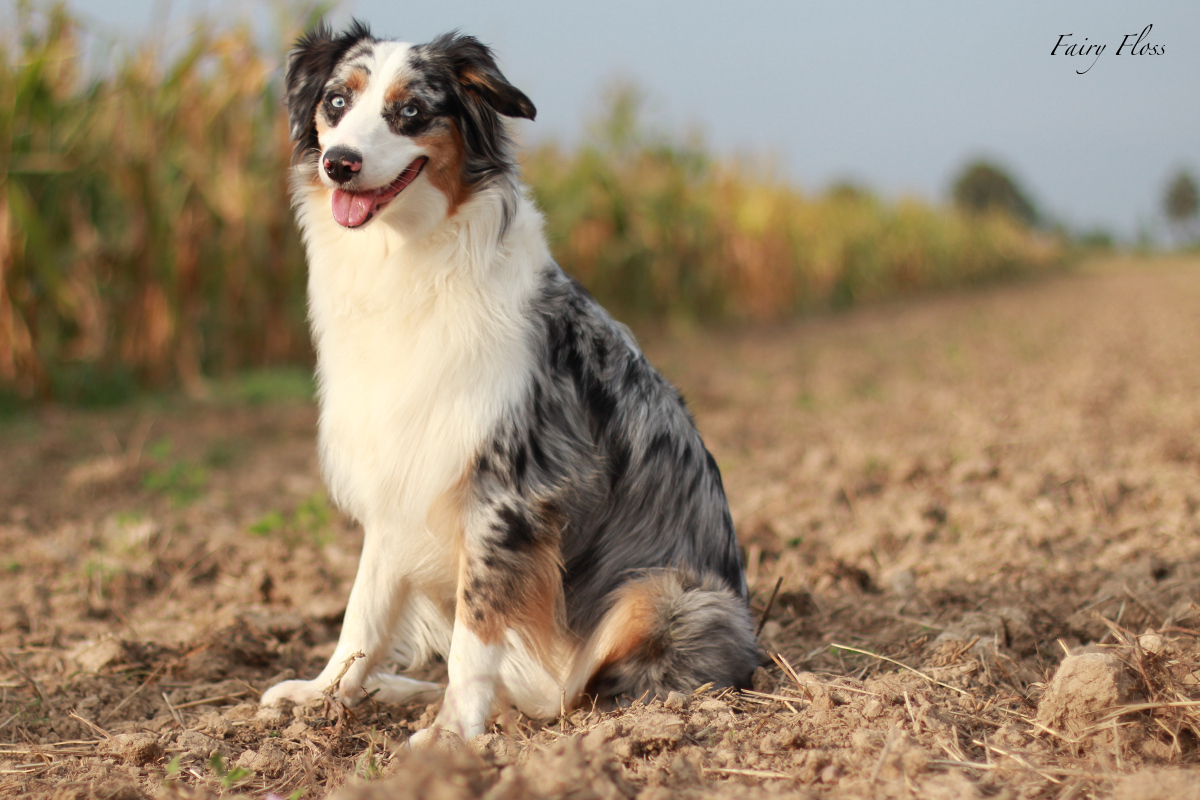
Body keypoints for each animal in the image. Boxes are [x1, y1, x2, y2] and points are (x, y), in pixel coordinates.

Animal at [258, 20, 753, 743]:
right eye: (336, 103)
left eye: (412, 111)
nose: (340, 163)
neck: (410, 258)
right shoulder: (403, 468)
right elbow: (364, 609)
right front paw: (325, 694)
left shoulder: (508, 492)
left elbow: (476, 633)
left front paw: (450, 735)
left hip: (666, 592)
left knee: (565, 695)